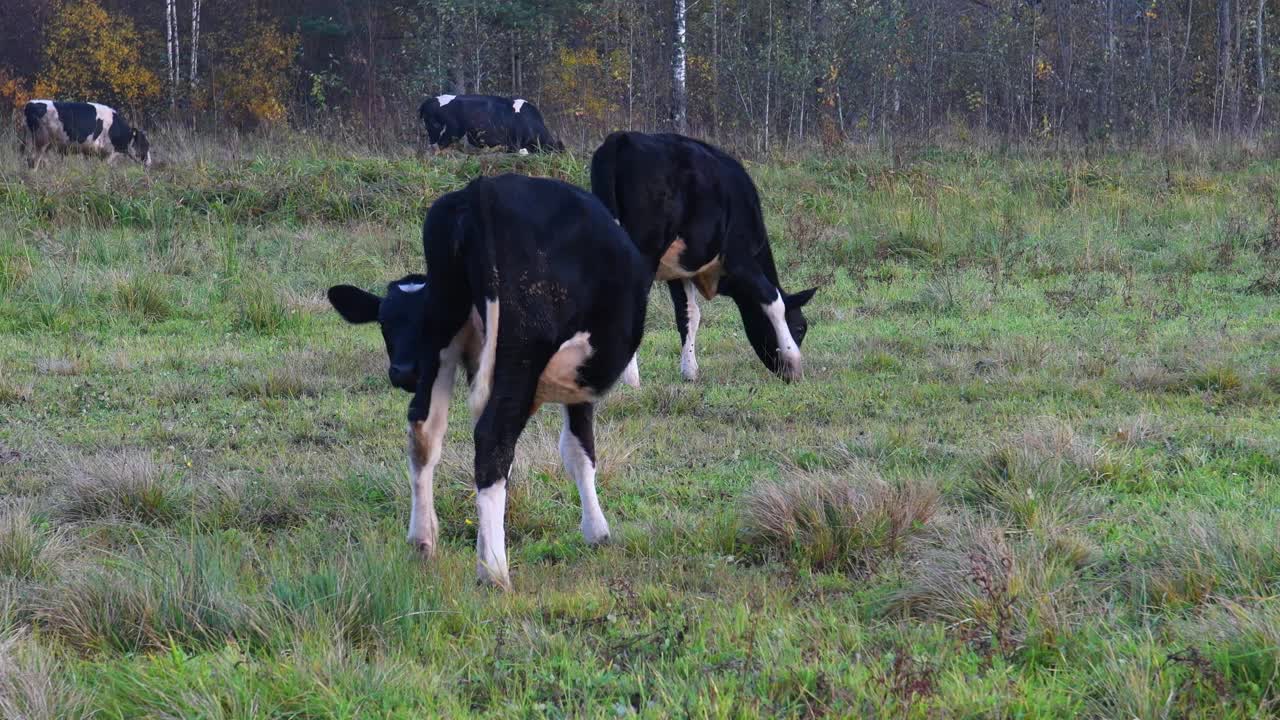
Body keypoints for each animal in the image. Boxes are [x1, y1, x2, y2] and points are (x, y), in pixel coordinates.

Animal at [23, 99, 151, 169]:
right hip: (41, 141)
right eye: (145, 144)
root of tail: (31, 103)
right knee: (33, 160)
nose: (149, 163)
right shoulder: (108, 153)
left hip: (46, 144)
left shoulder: (89, 152)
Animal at [330, 175, 650, 589]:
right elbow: (579, 449)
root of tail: (481, 190)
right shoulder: (577, 381)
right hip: (522, 349)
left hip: (443, 346)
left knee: (424, 430)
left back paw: (423, 542)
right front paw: (596, 531)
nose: (402, 370)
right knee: (493, 438)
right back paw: (494, 571)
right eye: (384, 324)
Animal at [591, 131, 819, 384]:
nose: (793, 378)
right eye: (800, 328)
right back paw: (631, 379)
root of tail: (621, 138)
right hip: (645, 252)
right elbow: (772, 299)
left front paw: (689, 371)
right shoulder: (739, 259)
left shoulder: (679, 269)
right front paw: (792, 360)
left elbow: (689, 314)